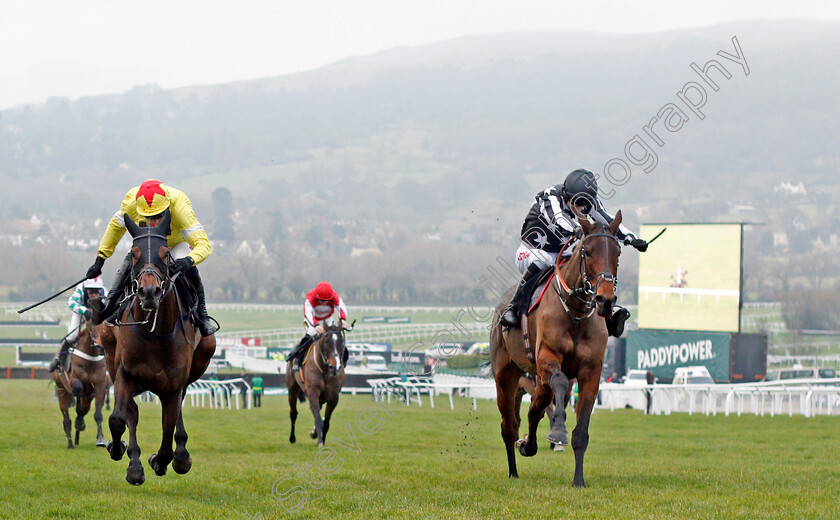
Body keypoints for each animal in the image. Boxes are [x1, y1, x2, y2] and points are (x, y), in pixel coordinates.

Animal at [53, 318, 110, 448]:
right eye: (93, 324)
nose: (101, 347)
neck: (91, 356)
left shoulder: (100, 387)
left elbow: (98, 415)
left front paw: (101, 439)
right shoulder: (75, 381)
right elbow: (78, 389)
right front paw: (79, 422)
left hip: (88, 397)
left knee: (84, 410)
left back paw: (77, 436)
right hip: (61, 391)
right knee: (66, 419)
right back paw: (70, 444)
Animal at [92, 210, 217, 484]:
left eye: (164, 254)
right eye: (134, 254)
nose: (149, 292)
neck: (155, 332)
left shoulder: (173, 385)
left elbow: (167, 435)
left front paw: (162, 460)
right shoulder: (124, 374)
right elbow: (118, 420)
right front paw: (120, 450)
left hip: (200, 359)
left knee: (177, 411)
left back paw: (180, 455)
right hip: (111, 356)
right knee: (132, 412)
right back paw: (134, 462)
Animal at [488, 209, 620, 486]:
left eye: (618, 252)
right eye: (587, 251)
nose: (605, 300)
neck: (575, 312)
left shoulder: (591, 372)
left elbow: (581, 432)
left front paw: (578, 479)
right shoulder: (547, 357)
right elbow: (558, 382)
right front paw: (558, 431)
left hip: (536, 381)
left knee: (534, 410)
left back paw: (528, 445)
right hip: (506, 376)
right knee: (509, 425)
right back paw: (513, 469)